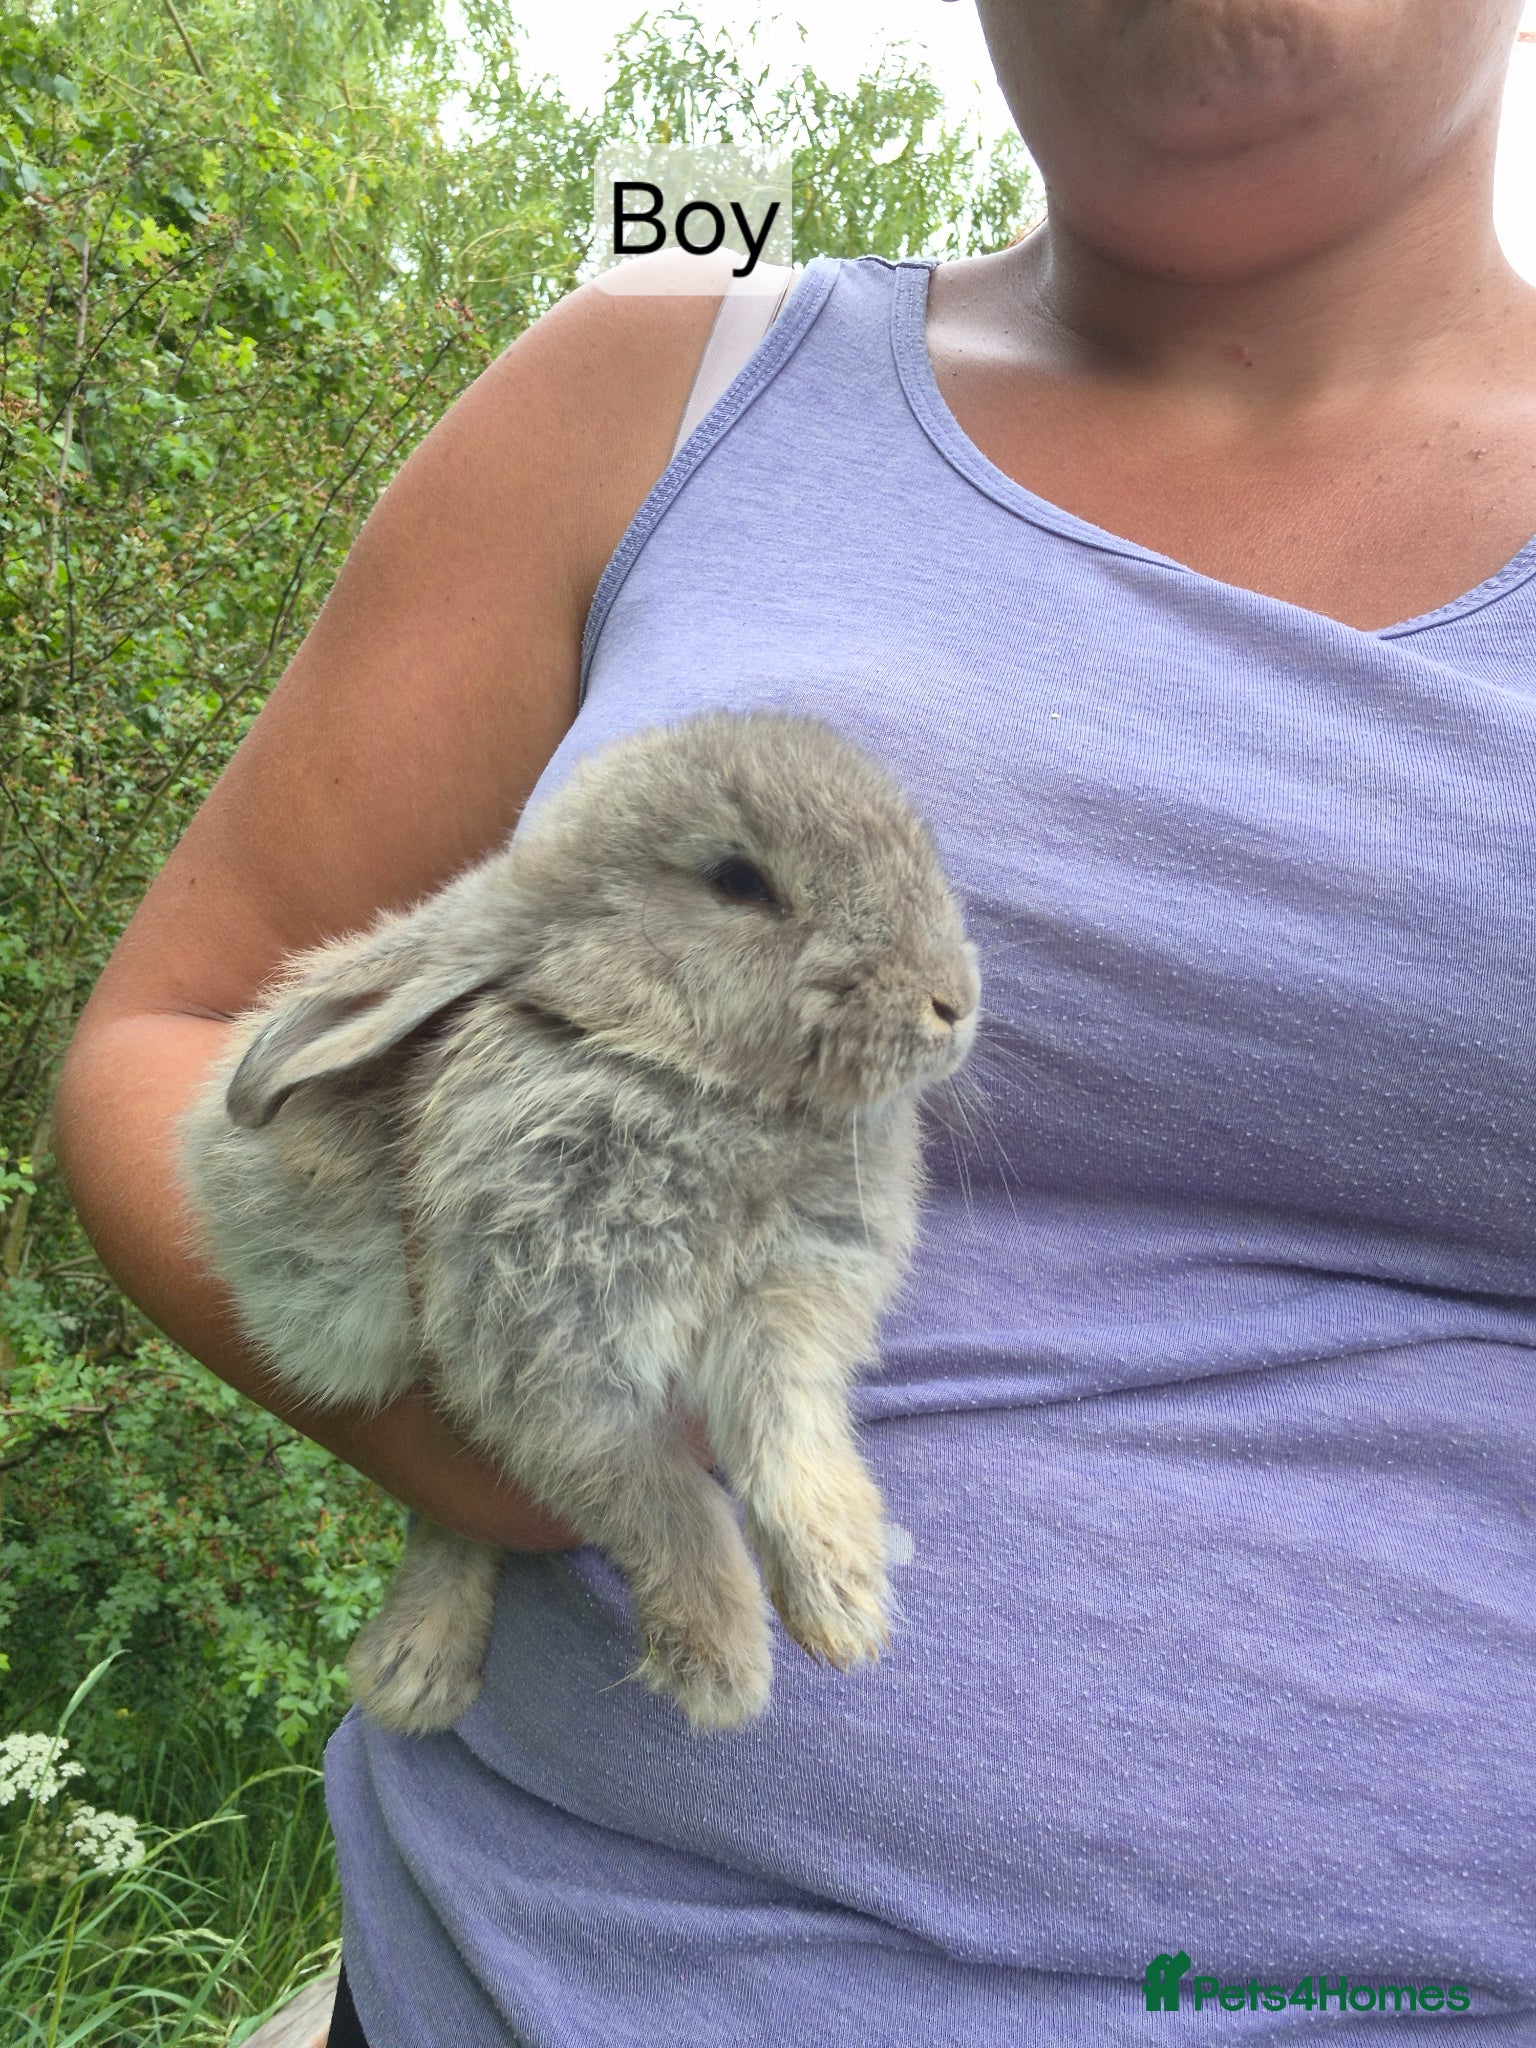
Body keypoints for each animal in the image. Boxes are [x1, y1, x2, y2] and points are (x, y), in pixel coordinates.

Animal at [177, 708, 980, 1736]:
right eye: (738, 881)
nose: (952, 1002)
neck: (683, 1074)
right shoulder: (547, 1363)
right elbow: (656, 1500)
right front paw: (723, 1664)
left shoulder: (794, 1301)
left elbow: (785, 1430)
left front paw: (844, 1601)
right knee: (446, 1513)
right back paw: (413, 1672)